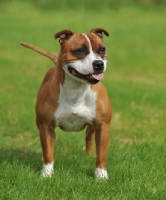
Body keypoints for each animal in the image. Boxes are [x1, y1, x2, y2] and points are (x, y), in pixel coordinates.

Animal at [35, 28, 112, 180]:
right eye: (80, 50)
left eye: (102, 49)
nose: (99, 64)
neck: (77, 89)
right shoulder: (46, 126)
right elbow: (48, 152)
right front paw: (46, 175)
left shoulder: (103, 126)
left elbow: (101, 153)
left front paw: (101, 175)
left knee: (89, 135)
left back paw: (89, 154)